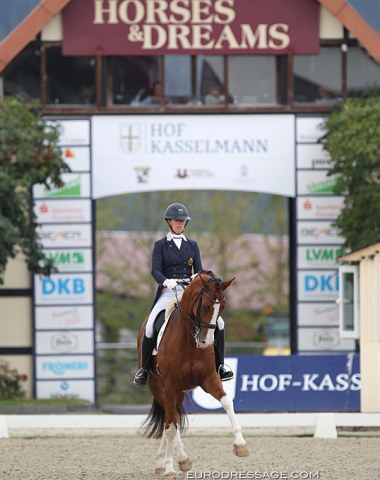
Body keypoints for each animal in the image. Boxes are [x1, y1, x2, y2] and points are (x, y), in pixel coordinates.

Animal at [137, 272, 249, 478]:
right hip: (158, 387)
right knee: (170, 419)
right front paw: (170, 469)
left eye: (223, 306)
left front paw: (240, 445)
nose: (206, 343)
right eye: (205, 306)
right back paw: (174, 461)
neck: (189, 340)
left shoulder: (209, 379)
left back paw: (171, 461)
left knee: (172, 417)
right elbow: (170, 426)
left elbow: (227, 402)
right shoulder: (170, 386)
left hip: (180, 392)